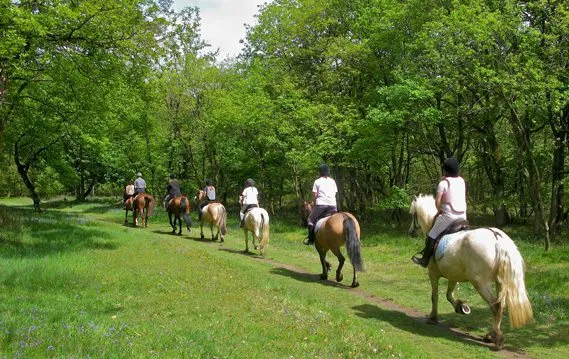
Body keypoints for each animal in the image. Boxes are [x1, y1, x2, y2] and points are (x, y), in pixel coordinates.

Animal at [408, 195, 532, 350]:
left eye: (413, 215)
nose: (410, 232)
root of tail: (498, 239)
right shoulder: (453, 275)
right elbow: (449, 295)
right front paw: (461, 307)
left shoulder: (433, 273)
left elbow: (434, 296)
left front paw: (433, 317)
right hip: (500, 282)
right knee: (500, 306)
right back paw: (491, 335)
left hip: (480, 282)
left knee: (495, 306)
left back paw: (496, 338)